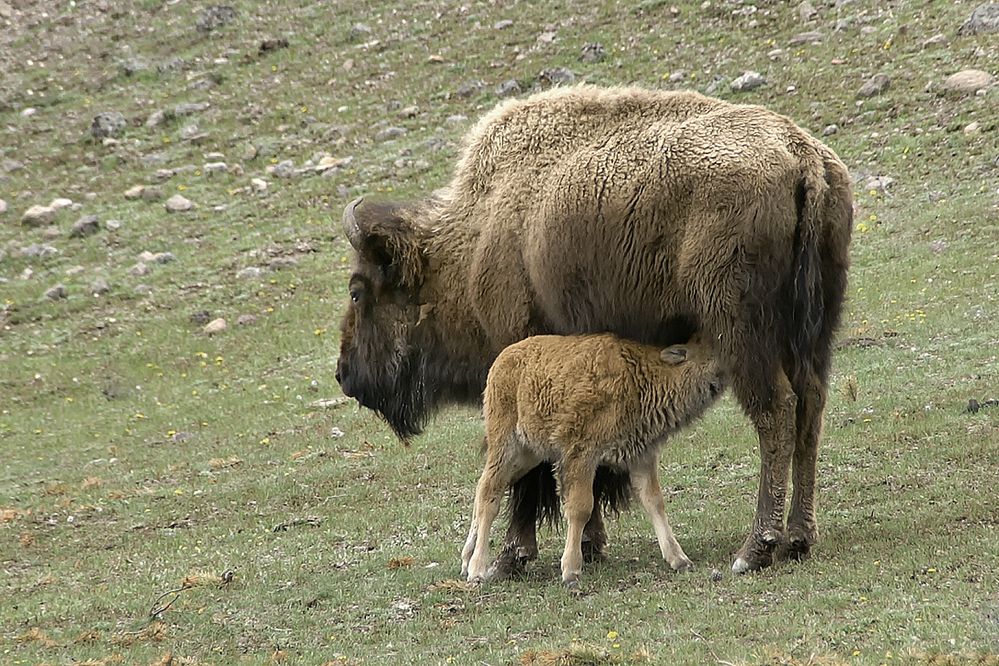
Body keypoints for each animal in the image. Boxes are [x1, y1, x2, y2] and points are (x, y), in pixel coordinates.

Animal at [460, 334, 728, 584]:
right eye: (710, 350)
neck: (642, 377)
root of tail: (501, 361)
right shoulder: (582, 455)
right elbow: (581, 507)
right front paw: (571, 571)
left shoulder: (641, 457)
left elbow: (654, 502)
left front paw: (679, 559)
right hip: (506, 445)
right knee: (490, 493)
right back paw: (477, 569)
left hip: (528, 455)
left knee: (484, 488)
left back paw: (466, 559)